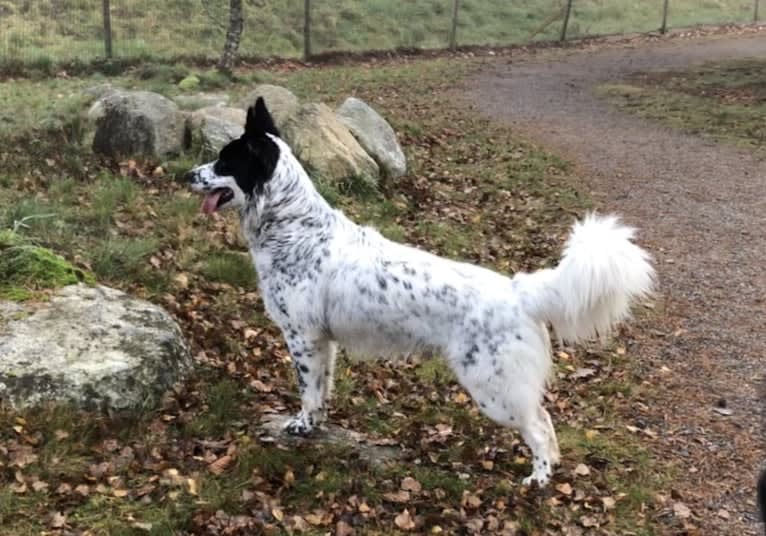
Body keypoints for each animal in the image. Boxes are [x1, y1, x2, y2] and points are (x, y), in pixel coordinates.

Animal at [184, 98, 656, 488]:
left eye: (224, 161)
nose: (187, 175)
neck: (295, 228)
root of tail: (519, 291)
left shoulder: (301, 338)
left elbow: (307, 391)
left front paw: (300, 425)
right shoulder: (322, 343)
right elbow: (321, 390)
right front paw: (315, 423)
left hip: (494, 389)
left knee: (539, 425)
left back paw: (537, 480)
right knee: (547, 424)